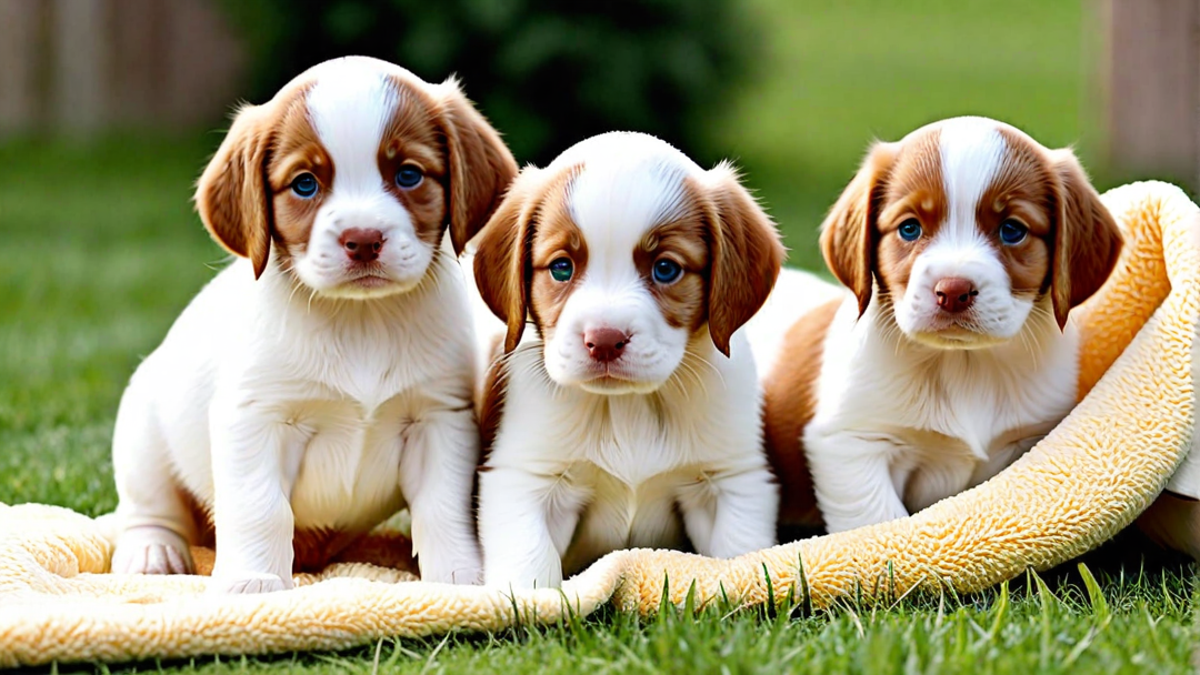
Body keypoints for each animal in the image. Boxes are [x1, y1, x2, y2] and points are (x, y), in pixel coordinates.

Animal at [112, 56, 520, 588]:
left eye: (409, 174)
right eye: (305, 183)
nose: (363, 239)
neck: (361, 320)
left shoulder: (438, 419)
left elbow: (442, 508)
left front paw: (458, 577)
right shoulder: (255, 419)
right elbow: (261, 506)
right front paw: (254, 582)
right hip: (144, 436)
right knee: (147, 512)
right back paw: (152, 553)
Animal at [468, 130, 787, 583]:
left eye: (666, 269)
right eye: (561, 267)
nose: (604, 340)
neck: (628, 407)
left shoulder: (732, 479)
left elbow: (737, 555)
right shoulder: (525, 476)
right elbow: (530, 562)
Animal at [744, 117, 1118, 535]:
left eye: (1012, 230)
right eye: (909, 228)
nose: (953, 291)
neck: (964, 365)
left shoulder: (1032, 441)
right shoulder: (851, 442)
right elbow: (882, 522)